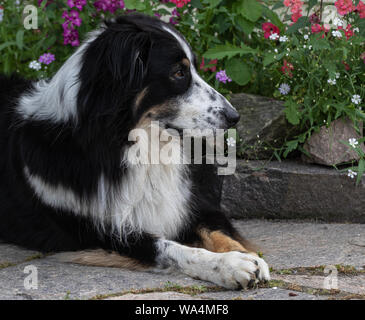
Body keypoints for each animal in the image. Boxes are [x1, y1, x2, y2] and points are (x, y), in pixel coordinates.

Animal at [0, 13, 268, 290]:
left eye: (193, 67)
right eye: (178, 72)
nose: (234, 117)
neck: (130, 145)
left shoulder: (190, 205)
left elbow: (218, 231)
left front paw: (247, 256)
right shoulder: (100, 232)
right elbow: (172, 249)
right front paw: (230, 265)